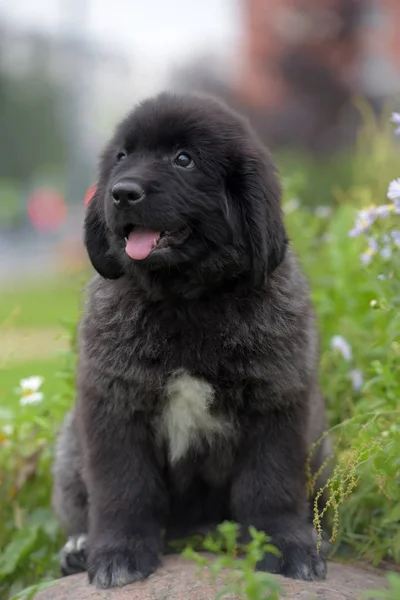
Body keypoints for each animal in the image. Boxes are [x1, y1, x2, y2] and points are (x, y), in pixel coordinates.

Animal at [51, 91, 330, 588]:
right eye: (122, 157)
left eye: (184, 159)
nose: (121, 193)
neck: (186, 302)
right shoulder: (113, 404)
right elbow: (123, 487)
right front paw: (118, 550)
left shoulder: (277, 401)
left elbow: (271, 486)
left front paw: (284, 545)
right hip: (68, 449)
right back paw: (79, 545)